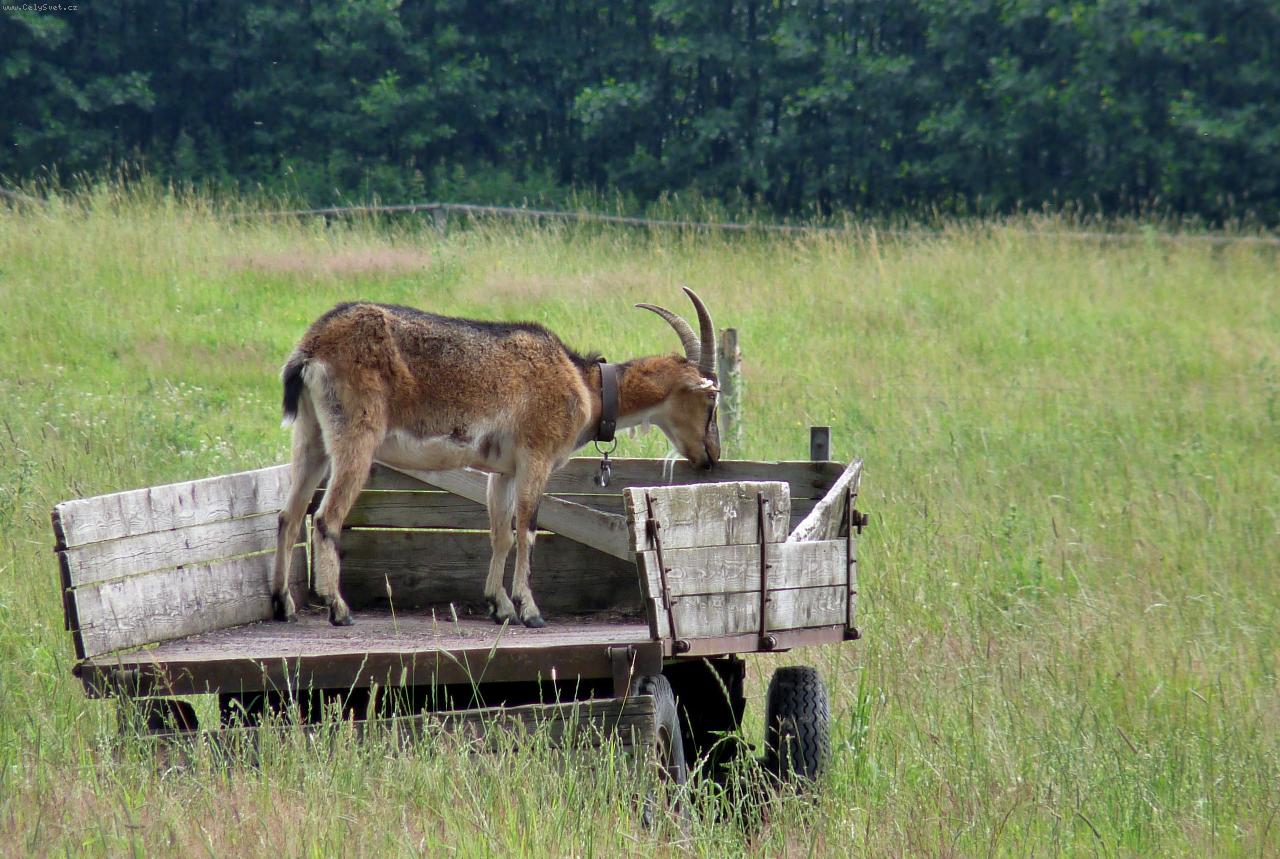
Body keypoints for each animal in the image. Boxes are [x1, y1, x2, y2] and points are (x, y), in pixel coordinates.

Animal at [270, 287, 721, 628]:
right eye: (711, 397)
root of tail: (311, 348)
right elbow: (528, 529)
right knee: (325, 517)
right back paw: (338, 608)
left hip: (311, 436)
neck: (584, 387)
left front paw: (499, 606)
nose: (711, 457)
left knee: (288, 514)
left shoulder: (501, 472)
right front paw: (530, 610)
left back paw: (282, 604)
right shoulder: (536, 457)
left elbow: (500, 532)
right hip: (355, 435)